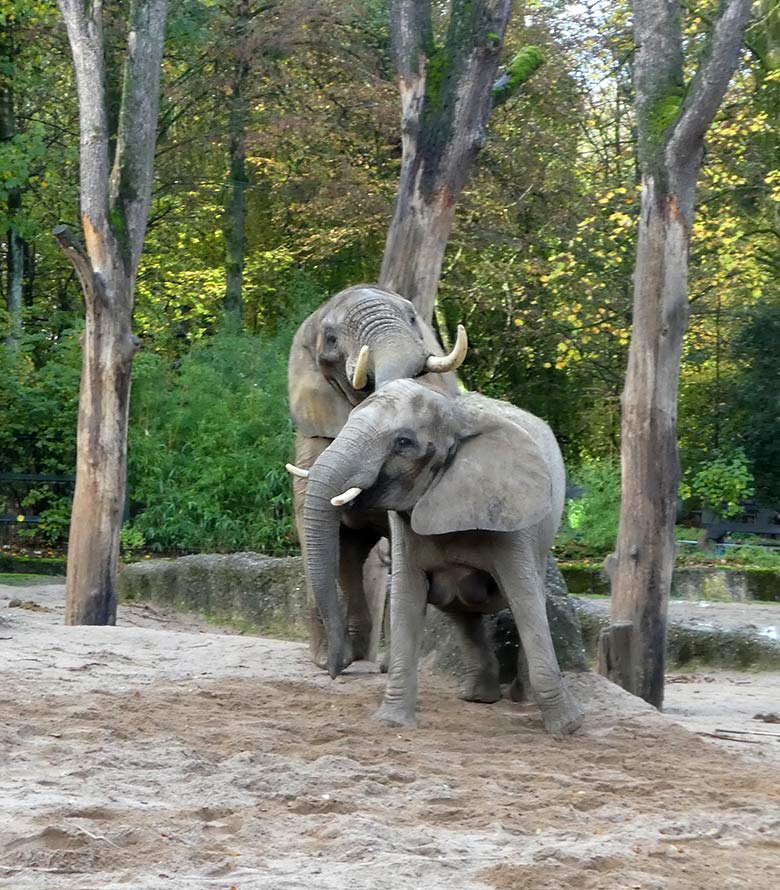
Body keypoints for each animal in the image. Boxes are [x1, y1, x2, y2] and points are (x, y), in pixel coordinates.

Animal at [298, 376, 584, 736]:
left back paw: (520, 697)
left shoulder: (511, 512)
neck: (455, 416)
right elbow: (407, 595)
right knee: (457, 603)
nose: (335, 672)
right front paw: (391, 721)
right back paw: (477, 696)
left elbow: (524, 599)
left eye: (403, 442)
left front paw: (568, 728)